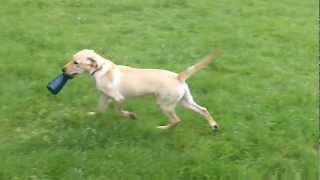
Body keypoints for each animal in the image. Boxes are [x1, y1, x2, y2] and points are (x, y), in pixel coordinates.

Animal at [63, 49, 218, 131]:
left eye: (76, 62)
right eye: (72, 59)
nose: (62, 69)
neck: (100, 69)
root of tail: (178, 77)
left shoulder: (119, 98)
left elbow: (119, 112)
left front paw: (131, 115)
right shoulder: (104, 96)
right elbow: (99, 110)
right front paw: (90, 115)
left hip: (164, 105)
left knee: (177, 120)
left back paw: (162, 129)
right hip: (185, 101)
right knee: (203, 109)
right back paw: (213, 125)